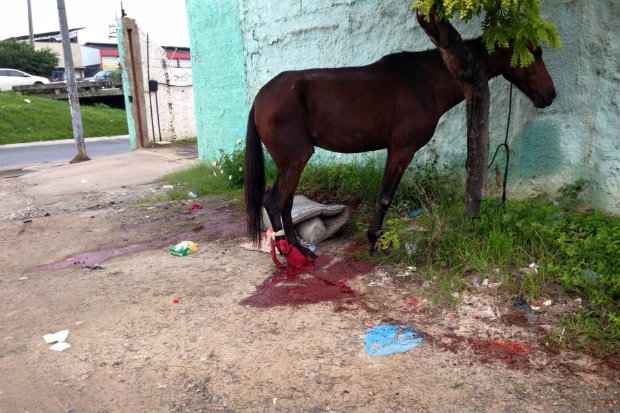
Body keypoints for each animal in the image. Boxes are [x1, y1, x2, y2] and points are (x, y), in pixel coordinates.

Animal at [243, 39, 556, 258]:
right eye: (535, 54)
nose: (550, 95)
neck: (425, 82)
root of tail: (260, 98)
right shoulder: (402, 149)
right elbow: (385, 196)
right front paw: (374, 240)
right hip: (295, 159)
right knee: (274, 201)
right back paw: (291, 253)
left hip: (292, 162)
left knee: (285, 202)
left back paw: (298, 247)